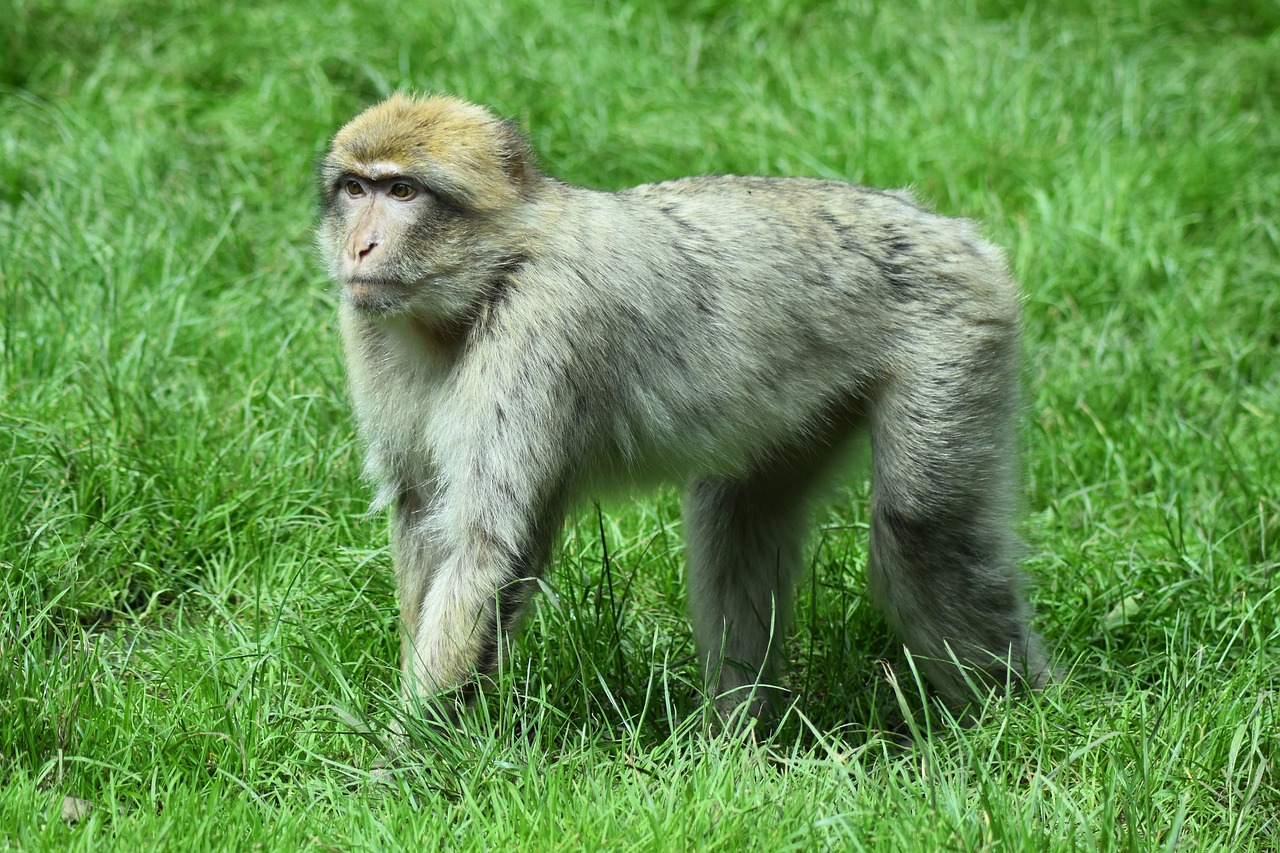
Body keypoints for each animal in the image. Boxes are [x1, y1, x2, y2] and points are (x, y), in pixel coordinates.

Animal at [317, 91, 1049, 717]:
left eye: (402, 191)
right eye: (355, 189)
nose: (360, 245)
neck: (486, 278)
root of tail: (953, 232)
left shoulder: (542, 324)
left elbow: (484, 551)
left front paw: (403, 766)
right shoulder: (368, 328)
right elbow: (421, 517)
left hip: (958, 332)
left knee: (921, 529)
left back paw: (1017, 715)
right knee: (740, 518)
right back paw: (739, 737)